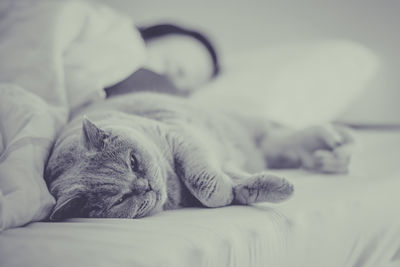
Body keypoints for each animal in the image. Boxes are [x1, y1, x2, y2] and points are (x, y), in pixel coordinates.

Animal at [43, 93, 352, 221]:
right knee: (292, 145)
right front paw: (251, 190)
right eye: (121, 199)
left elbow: (204, 183)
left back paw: (338, 139)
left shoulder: (180, 137)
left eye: (133, 162)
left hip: (254, 128)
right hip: (276, 150)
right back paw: (330, 155)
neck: (173, 192)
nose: (146, 186)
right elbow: (230, 183)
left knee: (296, 130)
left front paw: (228, 191)